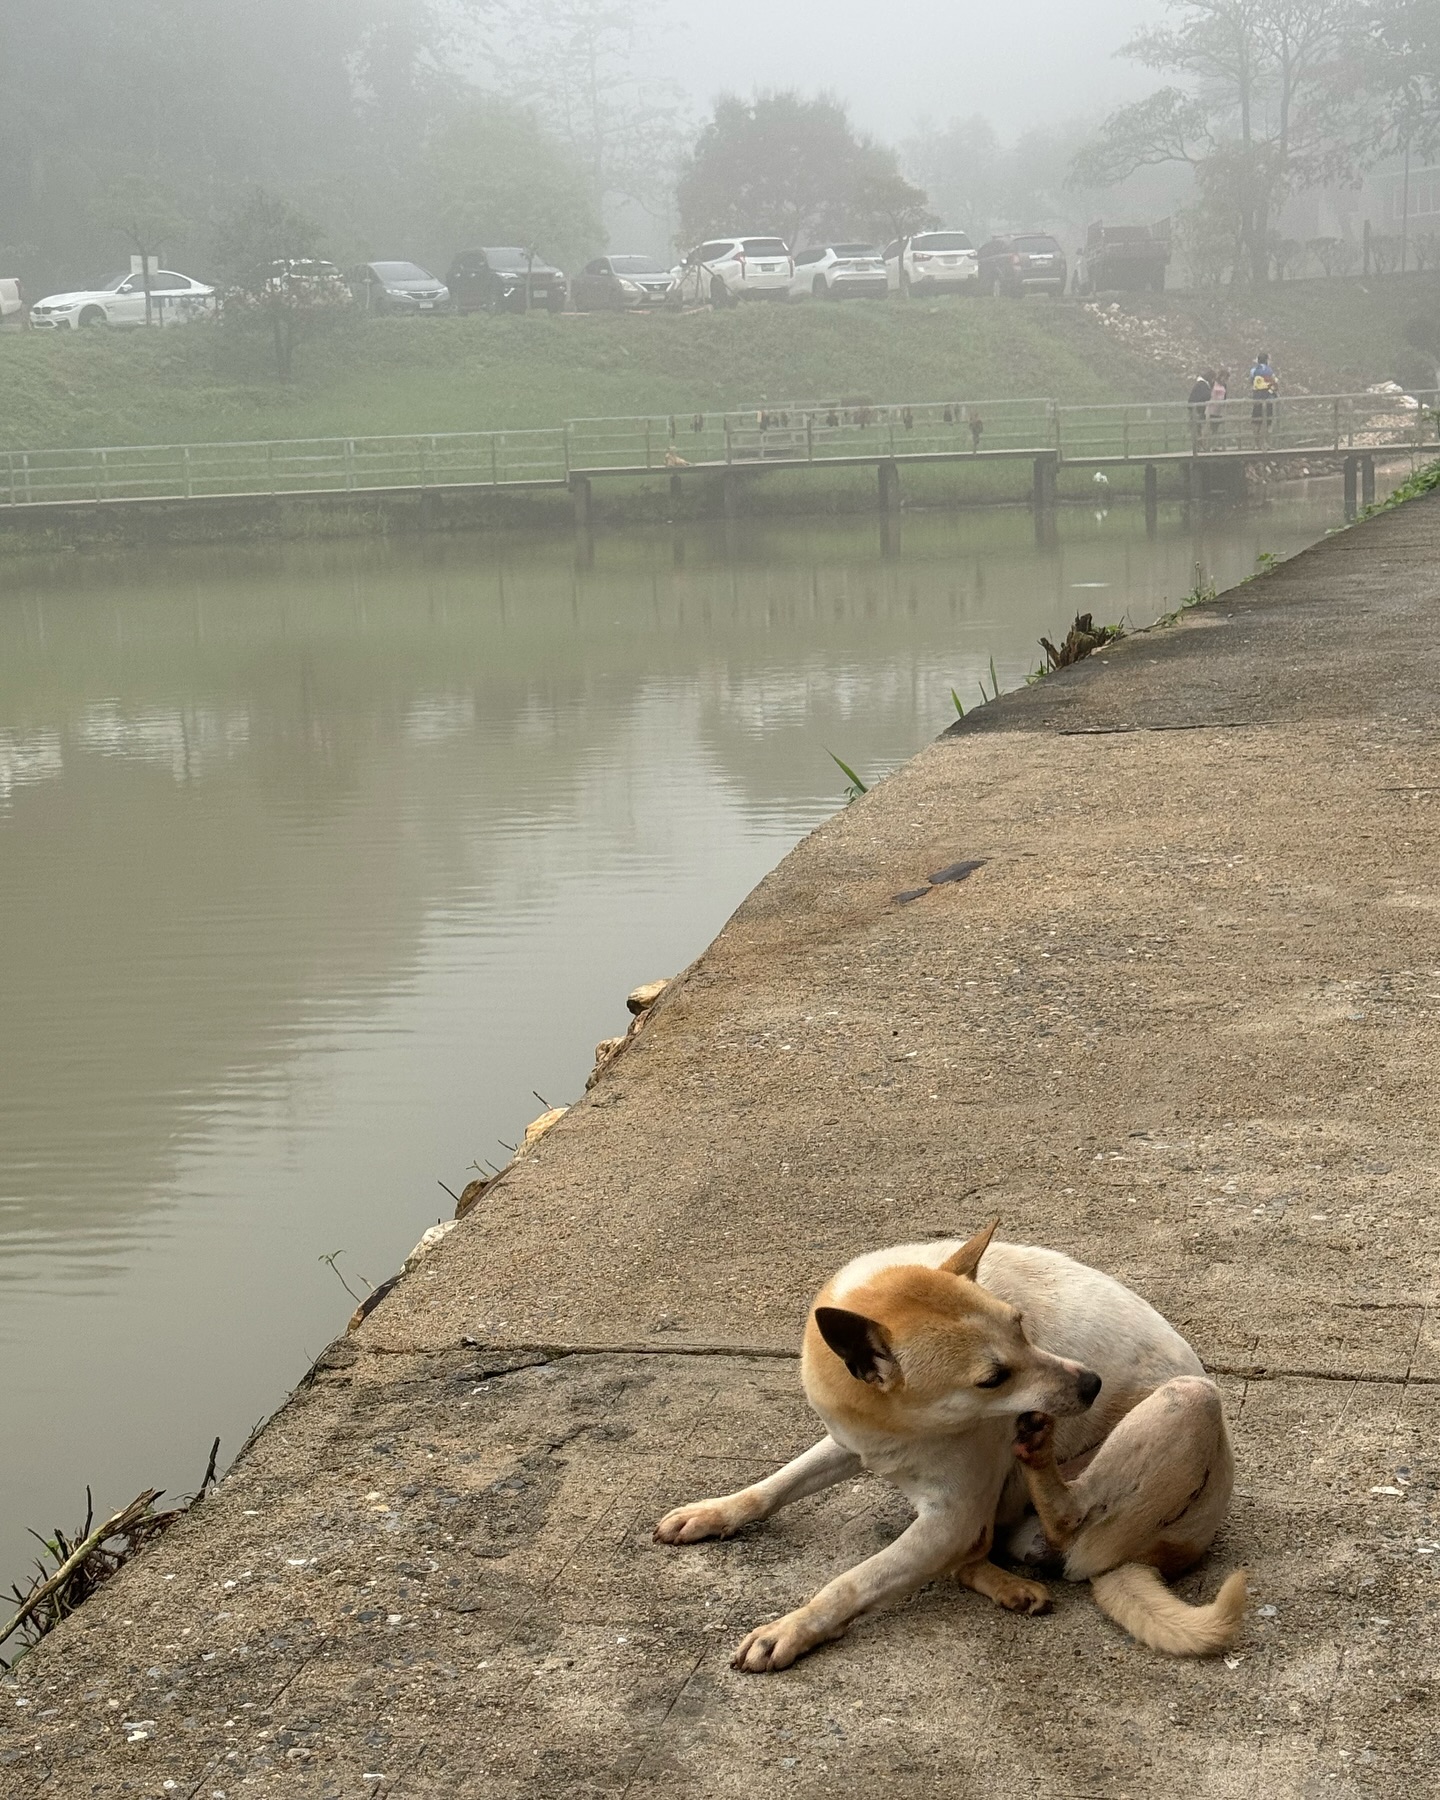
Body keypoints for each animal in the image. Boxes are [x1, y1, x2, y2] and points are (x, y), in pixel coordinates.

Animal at [655, 1224, 1245, 1670]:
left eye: (1021, 1326)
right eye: (992, 1378)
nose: (1093, 1384)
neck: (898, 1427)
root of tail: (1151, 1559)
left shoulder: (951, 1519)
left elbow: (852, 1582)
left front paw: (790, 1629)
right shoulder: (850, 1445)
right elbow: (775, 1486)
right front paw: (714, 1512)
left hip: (1188, 1400)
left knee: (1064, 1519)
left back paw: (1039, 1463)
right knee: (977, 1555)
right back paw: (1010, 1583)